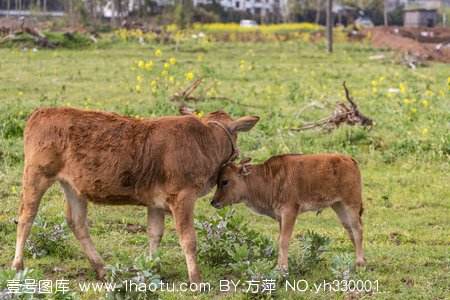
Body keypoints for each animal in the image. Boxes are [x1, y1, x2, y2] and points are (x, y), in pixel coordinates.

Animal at [12, 106, 260, 282]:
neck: (204, 141)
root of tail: (41, 112)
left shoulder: (156, 202)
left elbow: (155, 234)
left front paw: (151, 268)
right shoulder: (183, 197)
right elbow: (188, 239)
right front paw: (196, 280)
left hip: (73, 187)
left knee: (77, 222)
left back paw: (101, 268)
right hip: (36, 175)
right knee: (26, 216)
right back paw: (17, 265)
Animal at [211, 154, 366, 270]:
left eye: (225, 181)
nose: (213, 202)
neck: (269, 178)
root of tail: (350, 160)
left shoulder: (289, 212)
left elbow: (284, 240)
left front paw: (283, 269)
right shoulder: (281, 217)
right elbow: (280, 239)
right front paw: (279, 266)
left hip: (350, 204)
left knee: (358, 229)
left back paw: (359, 263)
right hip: (338, 206)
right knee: (350, 230)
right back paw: (361, 259)